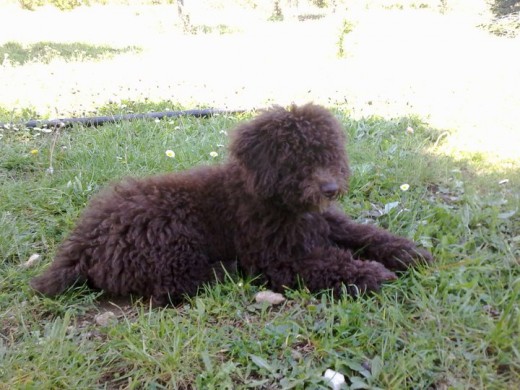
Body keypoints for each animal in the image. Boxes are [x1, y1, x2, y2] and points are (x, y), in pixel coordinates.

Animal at [30, 103, 432, 304]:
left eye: (328, 152)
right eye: (295, 156)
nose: (331, 188)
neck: (277, 202)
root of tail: (82, 244)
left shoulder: (327, 221)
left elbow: (364, 232)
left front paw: (407, 251)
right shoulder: (278, 258)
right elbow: (326, 262)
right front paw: (369, 274)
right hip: (170, 233)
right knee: (173, 285)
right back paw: (225, 270)